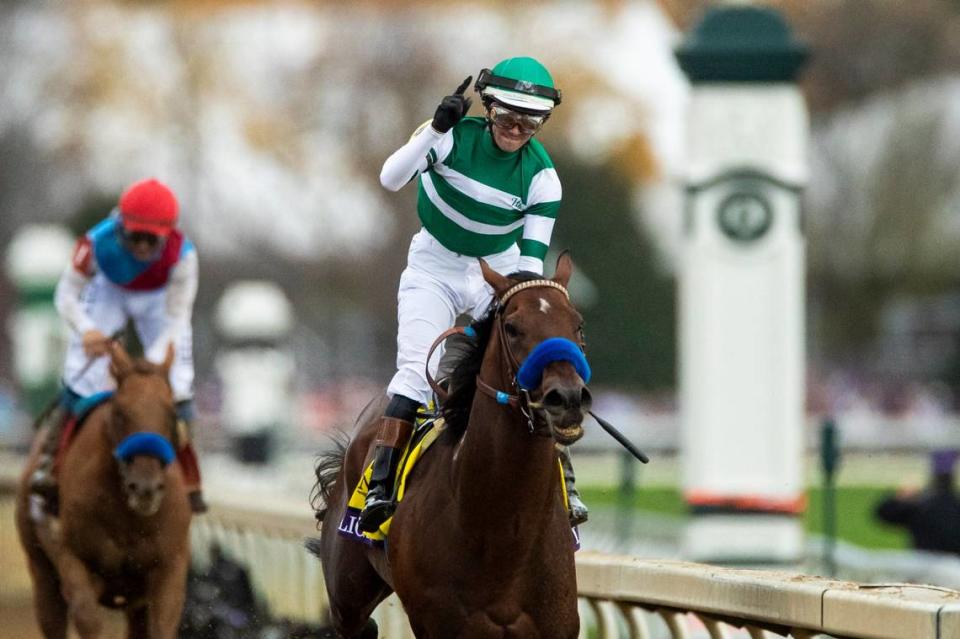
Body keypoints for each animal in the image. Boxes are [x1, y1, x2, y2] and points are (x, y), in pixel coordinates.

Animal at [15, 344, 193, 639]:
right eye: (120, 412)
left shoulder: (169, 568)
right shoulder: (74, 560)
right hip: (42, 574)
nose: (145, 487)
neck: (128, 516)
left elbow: (162, 625)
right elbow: (88, 620)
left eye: (172, 413)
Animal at [312, 252, 588, 636]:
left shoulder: (555, 623)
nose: (567, 398)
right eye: (513, 328)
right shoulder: (439, 623)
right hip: (346, 594)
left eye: (577, 325)